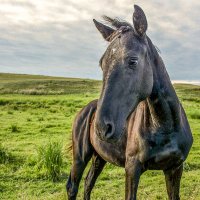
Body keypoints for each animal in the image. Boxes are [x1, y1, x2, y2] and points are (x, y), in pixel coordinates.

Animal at [66, 5, 193, 200]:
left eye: (133, 60)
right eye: (102, 64)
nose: (102, 128)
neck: (164, 125)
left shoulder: (175, 168)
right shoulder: (132, 169)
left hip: (99, 157)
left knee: (88, 183)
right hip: (80, 156)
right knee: (73, 187)